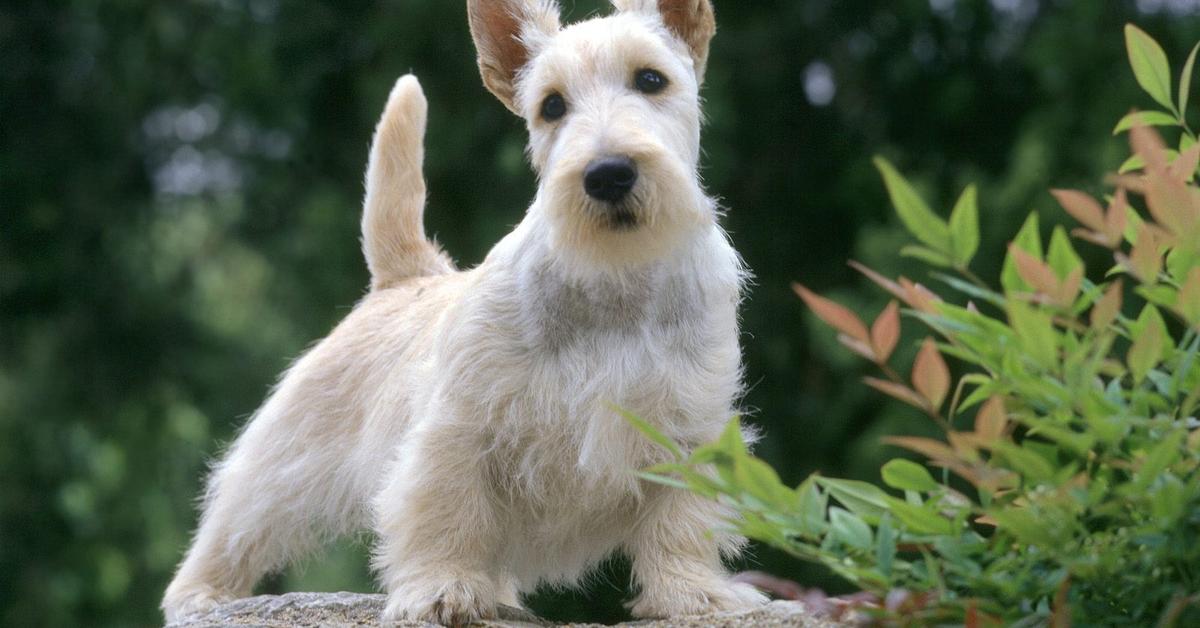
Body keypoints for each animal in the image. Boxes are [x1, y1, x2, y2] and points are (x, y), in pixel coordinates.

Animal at [159, 0, 763, 624]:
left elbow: (682, 521)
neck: (614, 281)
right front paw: (441, 588)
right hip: (283, 461)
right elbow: (446, 510)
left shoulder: (689, 431)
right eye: (551, 106)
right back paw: (200, 595)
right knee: (236, 521)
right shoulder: (458, 429)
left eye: (650, 79)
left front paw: (694, 593)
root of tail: (406, 275)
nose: (608, 173)